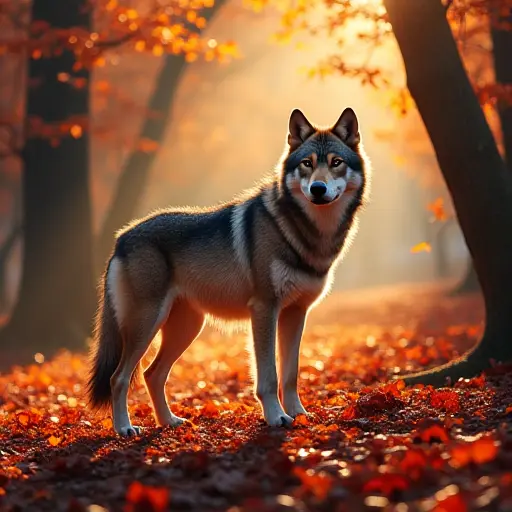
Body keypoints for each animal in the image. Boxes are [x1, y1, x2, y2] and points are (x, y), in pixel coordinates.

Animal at [87, 108, 368, 436]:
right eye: (307, 164)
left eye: (336, 162)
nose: (318, 189)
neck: (306, 233)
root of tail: (121, 238)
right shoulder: (264, 309)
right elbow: (269, 376)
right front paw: (277, 417)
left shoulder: (296, 313)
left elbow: (291, 374)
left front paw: (298, 414)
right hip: (147, 324)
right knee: (118, 377)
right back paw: (124, 428)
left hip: (186, 328)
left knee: (151, 374)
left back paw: (169, 421)